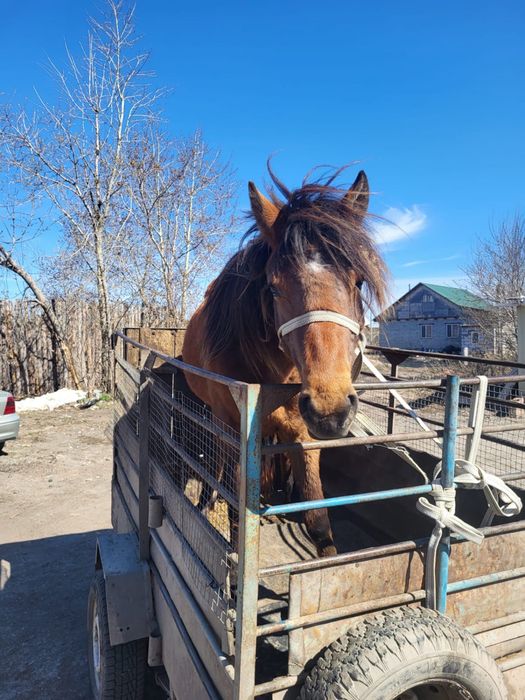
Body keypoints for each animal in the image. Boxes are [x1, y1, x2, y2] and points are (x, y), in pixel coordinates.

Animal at [182, 167, 388, 557]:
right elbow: (236, 514)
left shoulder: (304, 434)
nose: (330, 410)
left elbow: (318, 522)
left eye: (358, 282)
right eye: (273, 287)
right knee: (216, 464)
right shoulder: (233, 429)